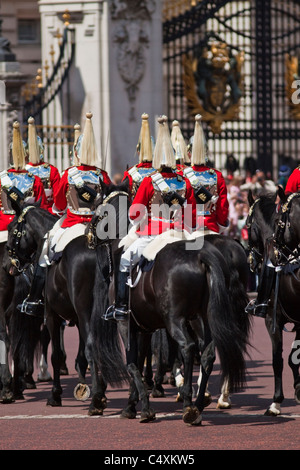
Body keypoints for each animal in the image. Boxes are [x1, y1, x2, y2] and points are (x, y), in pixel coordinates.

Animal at [89, 193, 251, 424]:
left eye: (98, 213)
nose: (89, 237)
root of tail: (201, 256)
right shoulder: (144, 328)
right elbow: (140, 360)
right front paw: (133, 403)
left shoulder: (125, 324)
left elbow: (132, 363)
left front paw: (143, 408)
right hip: (204, 317)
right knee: (209, 353)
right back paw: (198, 404)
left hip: (177, 320)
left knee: (188, 347)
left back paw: (189, 404)